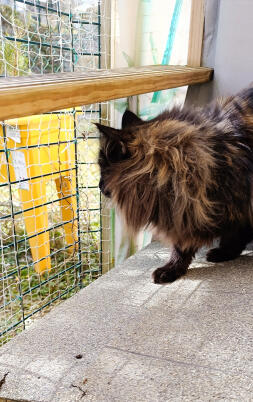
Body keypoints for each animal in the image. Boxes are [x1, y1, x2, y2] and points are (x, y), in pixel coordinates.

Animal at [96, 86, 253, 284]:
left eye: (103, 168)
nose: (99, 185)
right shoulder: (187, 211)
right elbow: (184, 245)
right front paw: (174, 268)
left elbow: (234, 233)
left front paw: (224, 252)